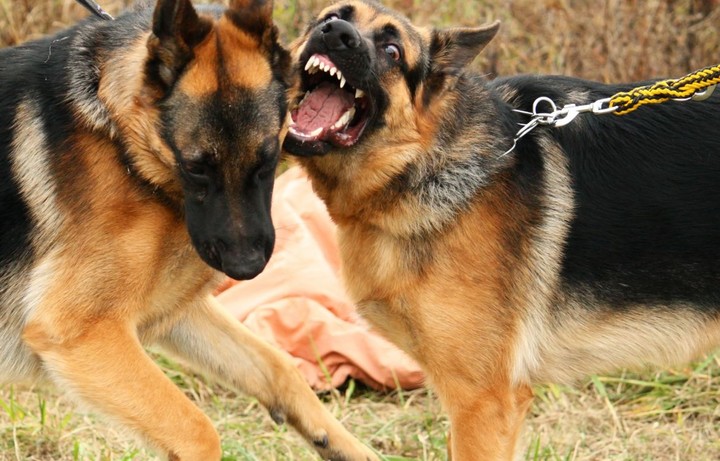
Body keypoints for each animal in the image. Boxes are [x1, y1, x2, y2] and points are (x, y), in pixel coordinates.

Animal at [0, 0, 379, 459]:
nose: (247, 267)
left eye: (267, 159)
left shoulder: (171, 310)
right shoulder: (80, 332)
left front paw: (346, 445)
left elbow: (277, 365)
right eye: (197, 167)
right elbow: (198, 430)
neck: (121, 138)